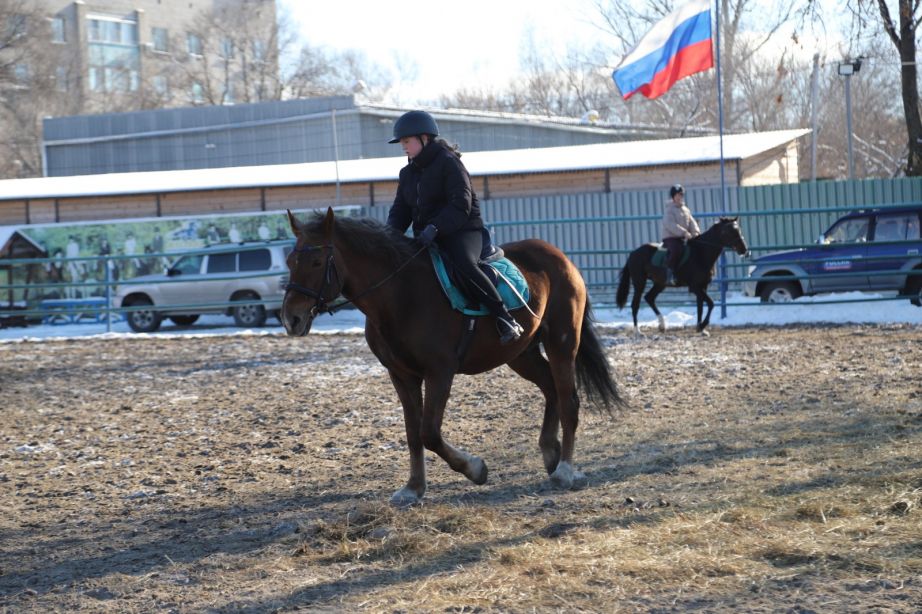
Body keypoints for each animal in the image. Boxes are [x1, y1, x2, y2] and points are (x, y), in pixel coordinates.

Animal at [282, 209, 624, 508]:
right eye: (289, 260)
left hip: (561, 343)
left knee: (568, 400)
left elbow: (429, 433)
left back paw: (564, 469)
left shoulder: (440, 372)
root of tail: (558, 256)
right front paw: (413, 488)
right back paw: (551, 454)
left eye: (316, 261)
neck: (401, 295)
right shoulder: (401, 375)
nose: (291, 319)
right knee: (551, 390)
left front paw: (475, 469)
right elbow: (413, 433)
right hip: (521, 354)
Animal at [616, 218, 744, 336]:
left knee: (649, 298)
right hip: (639, 283)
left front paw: (700, 328)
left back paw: (662, 325)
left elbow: (700, 306)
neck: (701, 253)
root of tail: (633, 253)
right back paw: (638, 331)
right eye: (729, 231)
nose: (744, 249)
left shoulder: (703, 286)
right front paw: (702, 325)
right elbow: (711, 303)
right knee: (635, 304)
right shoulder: (695, 287)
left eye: (738, 229)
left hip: (660, 284)